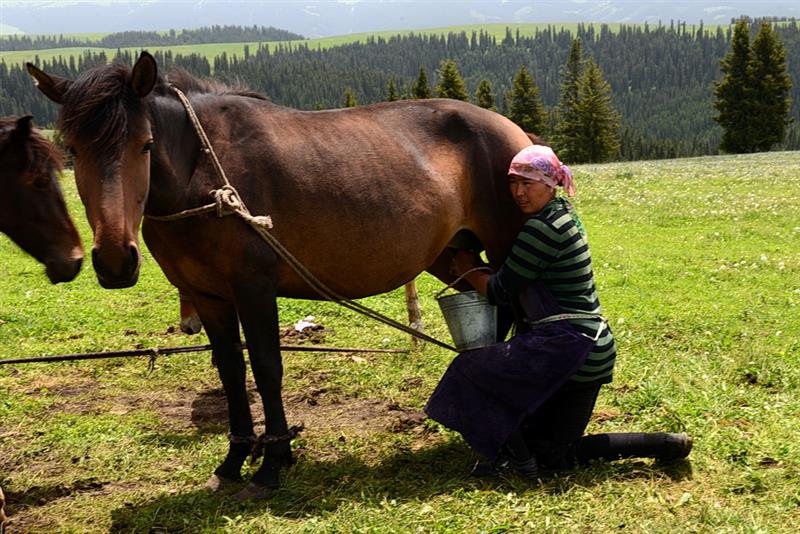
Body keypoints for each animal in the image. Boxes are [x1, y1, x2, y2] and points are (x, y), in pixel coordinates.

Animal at [29, 52, 532, 500]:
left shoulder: (254, 290)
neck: (203, 174)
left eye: (146, 145)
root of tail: (513, 131)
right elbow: (232, 374)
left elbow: (268, 370)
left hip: (506, 246)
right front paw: (234, 460)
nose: (115, 259)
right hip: (455, 257)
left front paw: (271, 463)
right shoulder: (209, 297)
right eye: (72, 149)